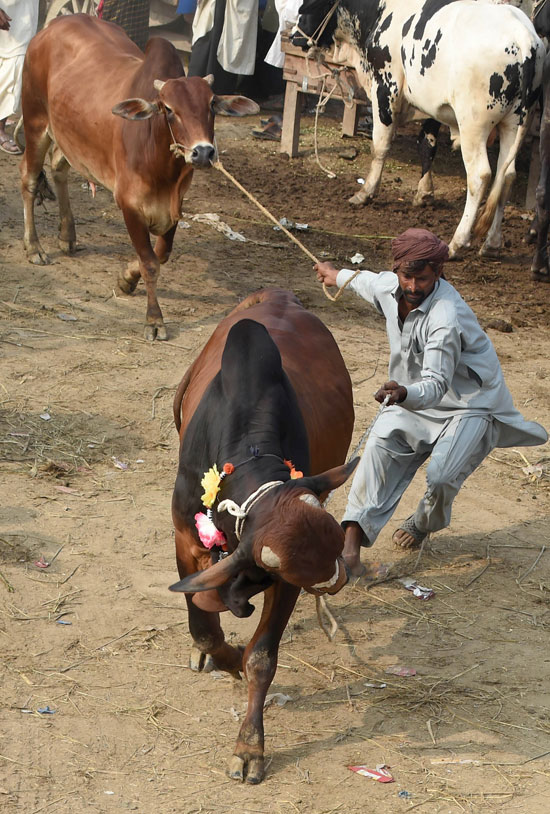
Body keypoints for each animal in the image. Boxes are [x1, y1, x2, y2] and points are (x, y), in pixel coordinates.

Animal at [18, 15, 258, 342]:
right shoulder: (129, 205)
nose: (204, 152)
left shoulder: (175, 206)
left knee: (58, 167)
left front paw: (126, 279)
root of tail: (52, 26)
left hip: (68, 135)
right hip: (35, 121)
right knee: (29, 178)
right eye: (168, 109)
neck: (161, 164)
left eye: (211, 104)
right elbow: (150, 262)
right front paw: (154, 320)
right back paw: (34, 248)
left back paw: (67, 235)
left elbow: (162, 253)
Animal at [169, 290, 358, 788]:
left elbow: (260, 658)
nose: (338, 579)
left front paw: (250, 746)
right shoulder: (184, 538)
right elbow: (204, 629)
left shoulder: (285, 580)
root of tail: (278, 295)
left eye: (333, 545)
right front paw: (226, 654)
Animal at [296, 0, 544, 255]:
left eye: (304, 7)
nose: (295, 36)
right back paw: (492, 243)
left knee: (480, 176)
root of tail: (523, 37)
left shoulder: (386, 88)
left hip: (473, 126)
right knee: (507, 176)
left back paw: (457, 242)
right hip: (514, 124)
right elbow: (426, 143)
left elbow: (380, 146)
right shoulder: (433, 107)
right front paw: (424, 193)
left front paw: (366, 192)